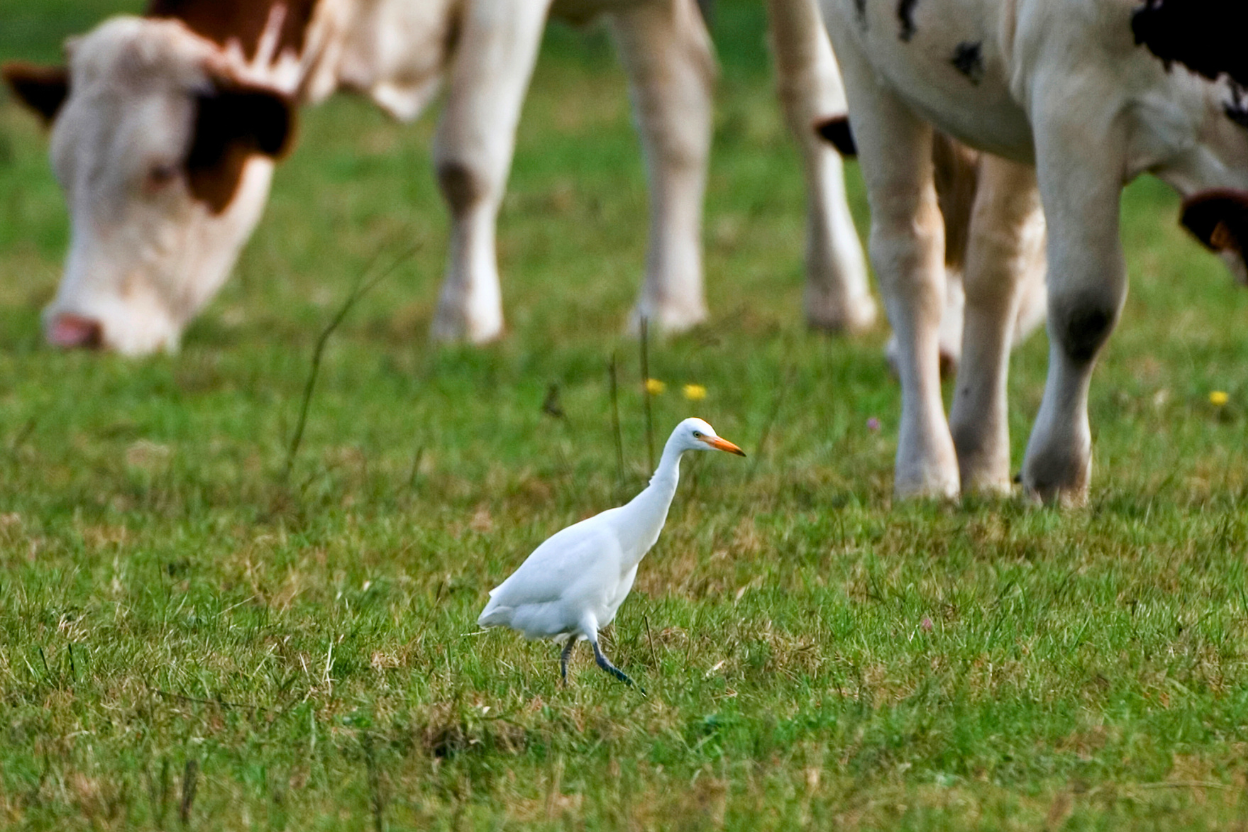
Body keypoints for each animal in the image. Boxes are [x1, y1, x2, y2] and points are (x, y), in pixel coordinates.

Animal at [2, 0, 879, 355]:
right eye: (62, 175)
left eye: (164, 171)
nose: (73, 331)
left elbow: (467, 158)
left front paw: (465, 318)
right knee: (678, 111)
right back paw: (666, 307)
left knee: (807, 98)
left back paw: (838, 296)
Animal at [816, 0, 1248, 505]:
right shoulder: (1072, 100)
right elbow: (1085, 308)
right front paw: (1058, 473)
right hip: (865, 63)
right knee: (909, 247)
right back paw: (926, 470)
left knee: (997, 253)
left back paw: (980, 460)